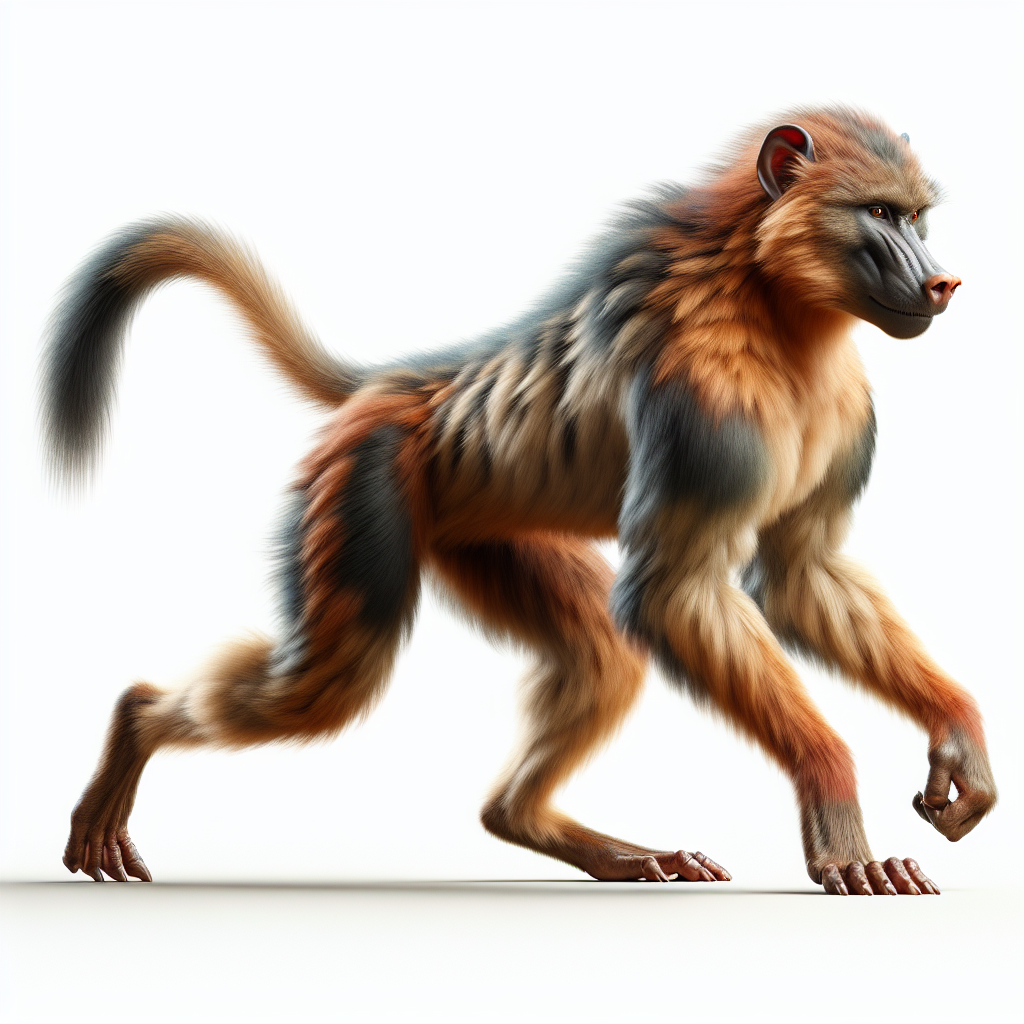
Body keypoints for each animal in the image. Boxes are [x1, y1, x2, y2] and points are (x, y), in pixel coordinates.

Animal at [41, 106, 996, 896]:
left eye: (916, 217)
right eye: (879, 215)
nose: (941, 282)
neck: (779, 303)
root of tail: (405, 388)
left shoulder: (847, 410)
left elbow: (799, 574)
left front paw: (958, 738)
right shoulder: (701, 398)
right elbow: (674, 588)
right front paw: (835, 806)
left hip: (477, 522)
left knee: (600, 651)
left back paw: (558, 833)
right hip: (365, 481)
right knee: (330, 681)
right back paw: (135, 719)